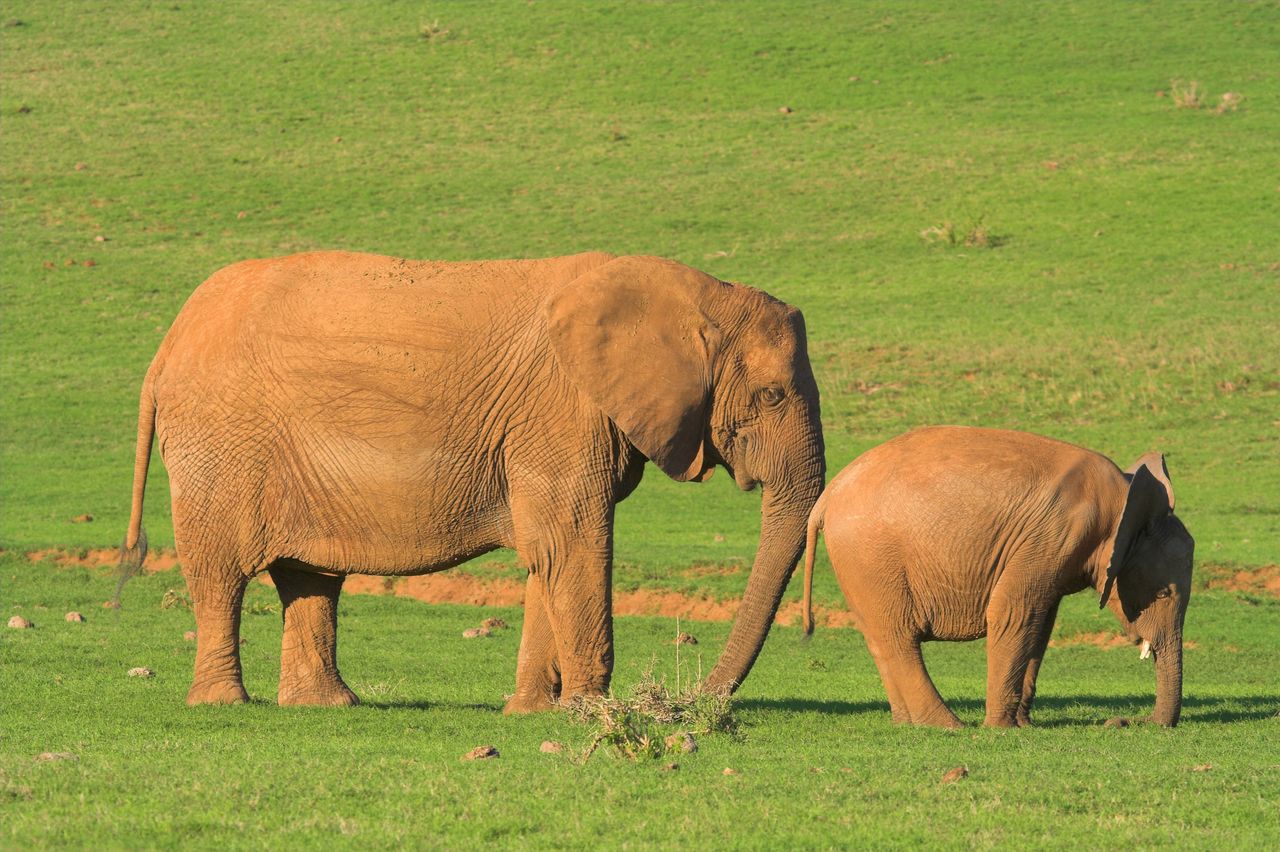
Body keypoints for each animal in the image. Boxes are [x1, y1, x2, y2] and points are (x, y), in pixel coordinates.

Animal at [117, 249, 819, 706]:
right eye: (773, 395)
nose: (692, 700)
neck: (695, 292)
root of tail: (168, 342)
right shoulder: (560, 411)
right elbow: (574, 543)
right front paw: (590, 711)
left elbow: (548, 553)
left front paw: (534, 713)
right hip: (221, 442)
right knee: (220, 573)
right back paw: (224, 704)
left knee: (309, 578)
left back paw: (329, 706)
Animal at [803, 424, 1192, 721]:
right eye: (1163, 594)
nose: (1126, 722)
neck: (1123, 500)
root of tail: (827, 497)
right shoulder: (1055, 536)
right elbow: (1012, 613)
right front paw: (1000, 728)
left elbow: (1039, 625)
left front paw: (1022, 724)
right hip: (871, 556)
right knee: (898, 637)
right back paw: (947, 726)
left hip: (858, 564)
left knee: (879, 637)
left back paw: (909, 723)